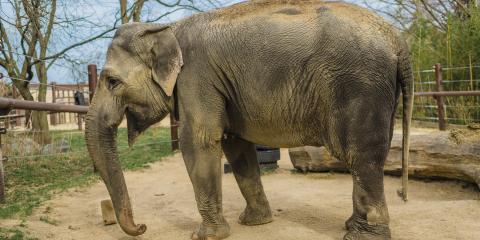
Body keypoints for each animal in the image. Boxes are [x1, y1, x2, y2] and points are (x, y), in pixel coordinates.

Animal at [85, 0, 412, 239]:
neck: (166, 28)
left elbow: (200, 141)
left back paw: (361, 236)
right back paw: (351, 226)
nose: (142, 227)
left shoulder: (197, 76)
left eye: (112, 81)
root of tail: (398, 40)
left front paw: (205, 236)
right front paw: (255, 223)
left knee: (361, 156)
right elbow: (235, 144)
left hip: (361, 87)